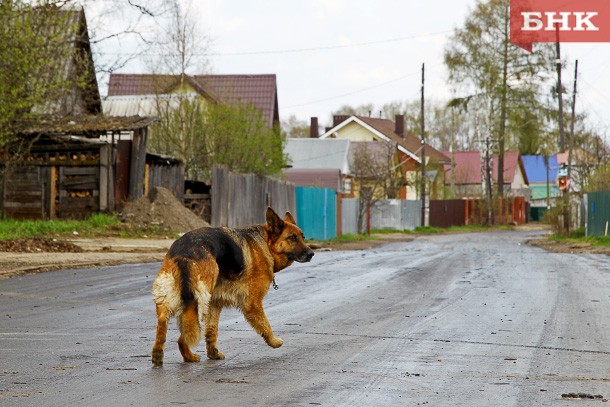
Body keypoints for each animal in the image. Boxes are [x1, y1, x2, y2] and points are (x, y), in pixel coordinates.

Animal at [151, 207, 314, 366]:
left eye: (303, 237)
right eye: (292, 238)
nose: (311, 254)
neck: (265, 244)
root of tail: (184, 252)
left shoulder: (215, 303)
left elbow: (211, 330)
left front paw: (213, 353)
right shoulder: (252, 303)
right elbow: (265, 324)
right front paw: (274, 342)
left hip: (170, 296)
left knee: (164, 322)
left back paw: (161, 355)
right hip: (200, 300)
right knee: (184, 332)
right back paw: (187, 356)